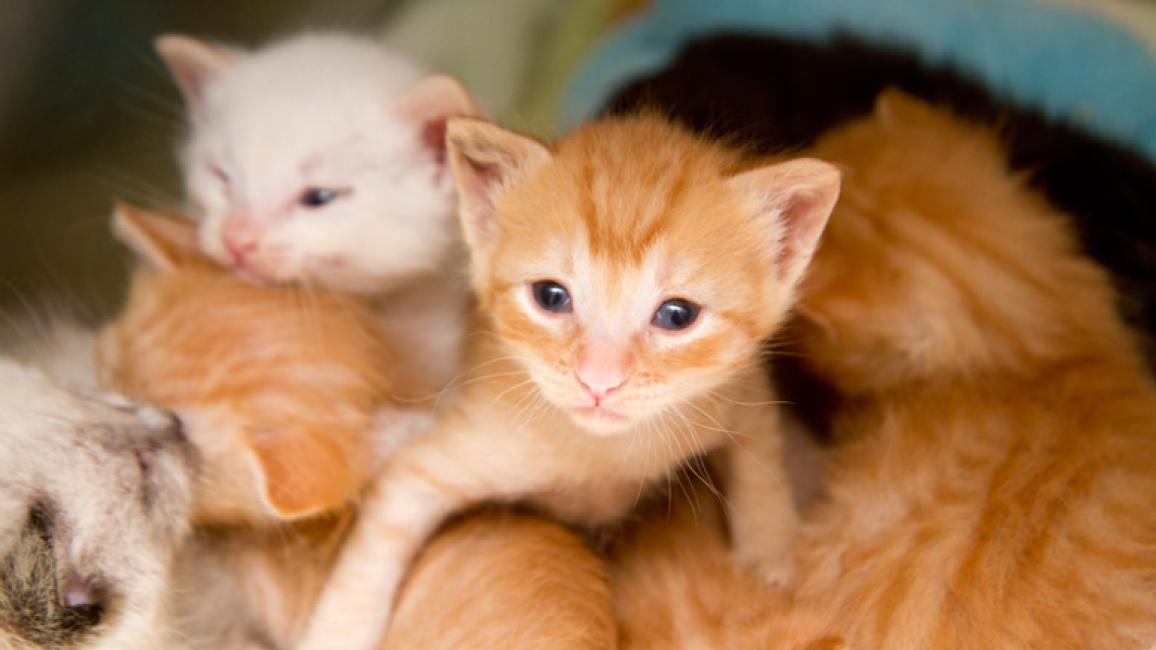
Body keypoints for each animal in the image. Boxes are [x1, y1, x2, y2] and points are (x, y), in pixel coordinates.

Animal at [295, 113, 841, 643]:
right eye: (551, 296)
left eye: (678, 314)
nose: (599, 381)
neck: (604, 453)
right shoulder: (439, 460)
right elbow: (377, 541)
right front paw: (337, 630)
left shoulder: (740, 392)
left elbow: (761, 469)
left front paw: (769, 560)